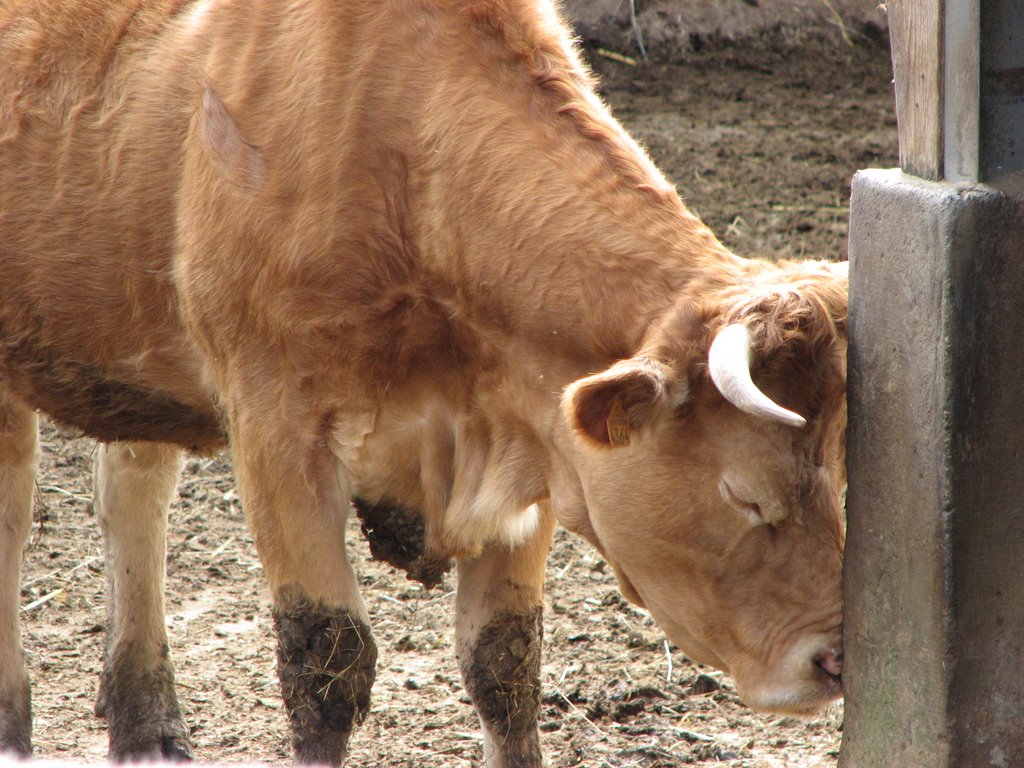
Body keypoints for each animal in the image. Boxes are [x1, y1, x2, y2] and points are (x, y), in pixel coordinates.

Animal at [0, 0, 847, 765]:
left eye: (839, 476)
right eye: (745, 495)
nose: (833, 658)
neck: (406, 170)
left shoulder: (527, 432)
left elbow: (505, 662)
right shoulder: (276, 425)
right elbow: (326, 660)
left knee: (132, 493)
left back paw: (145, 722)